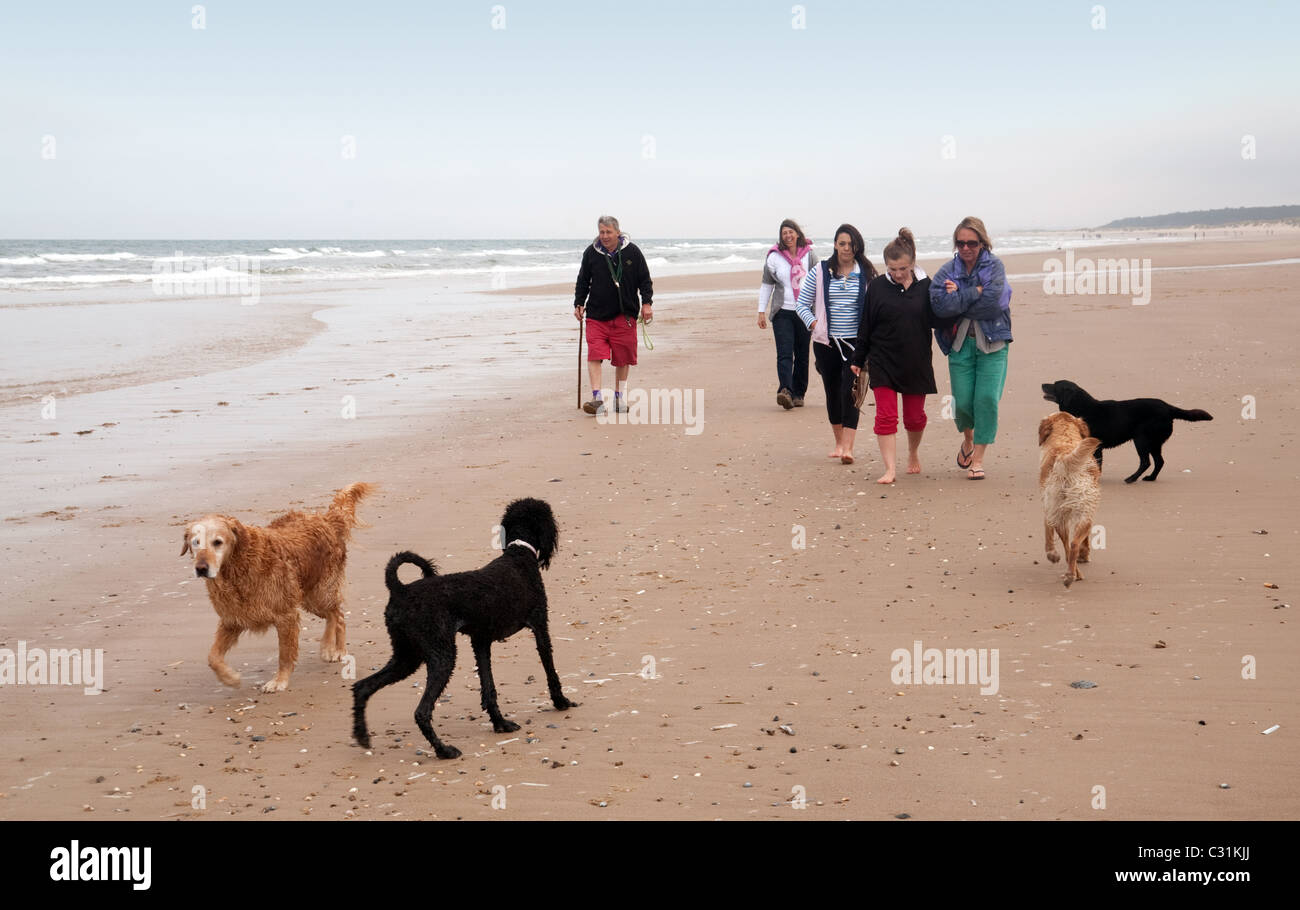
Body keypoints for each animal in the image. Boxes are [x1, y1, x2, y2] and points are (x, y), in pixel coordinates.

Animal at [179, 483, 371, 691]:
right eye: (195, 542)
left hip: (319, 593)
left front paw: (279, 681)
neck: (238, 568)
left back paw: (336, 650)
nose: (201, 568)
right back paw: (327, 647)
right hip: (307, 596)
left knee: (338, 615)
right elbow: (212, 657)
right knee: (332, 615)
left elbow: (285, 655)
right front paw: (230, 678)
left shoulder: (286, 615)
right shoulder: (232, 619)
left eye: (217, 542)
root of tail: (325, 519)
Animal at [356, 496, 579, 759]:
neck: (519, 553)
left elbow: (488, 686)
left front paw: (500, 723)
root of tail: (400, 590)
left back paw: (361, 735)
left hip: (406, 656)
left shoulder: (481, 640)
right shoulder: (540, 626)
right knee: (421, 711)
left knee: (362, 687)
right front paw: (561, 701)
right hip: (440, 655)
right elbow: (550, 670)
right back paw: (443, 750)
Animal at [1034, 413, 1097, 587]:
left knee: (1070, 545)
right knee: (1072, 544)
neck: (1064, 437)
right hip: (1078, 512)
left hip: (1061, 510)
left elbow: (1047, 528)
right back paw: (1072, 574)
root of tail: (1065, 462)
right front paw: (1084, 554)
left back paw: (1071, 574)